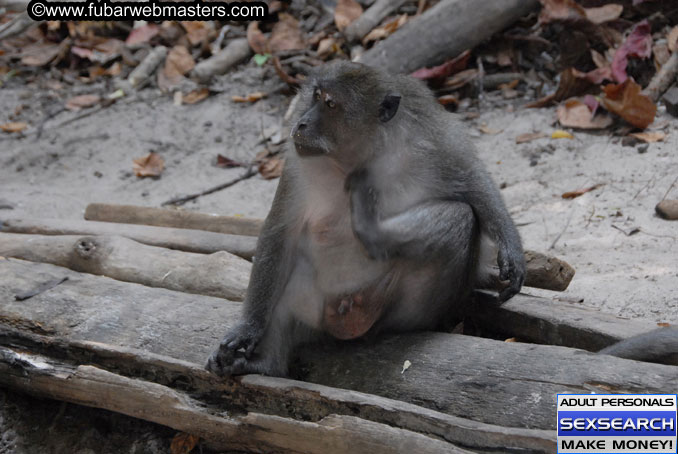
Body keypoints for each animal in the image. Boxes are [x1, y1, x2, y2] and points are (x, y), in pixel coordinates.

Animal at [207, 62, 524, 378]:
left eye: (330, 104)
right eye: (316, 96)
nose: (301, 124)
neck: (359, 157)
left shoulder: (430, 137)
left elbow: (471, 181)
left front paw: (511, 248)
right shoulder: (298, 165)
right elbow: (280, 233)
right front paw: (248, 328)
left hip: (396, 312)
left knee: (462, 218)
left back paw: (372, 236)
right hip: (316, 315)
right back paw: (268, 362)